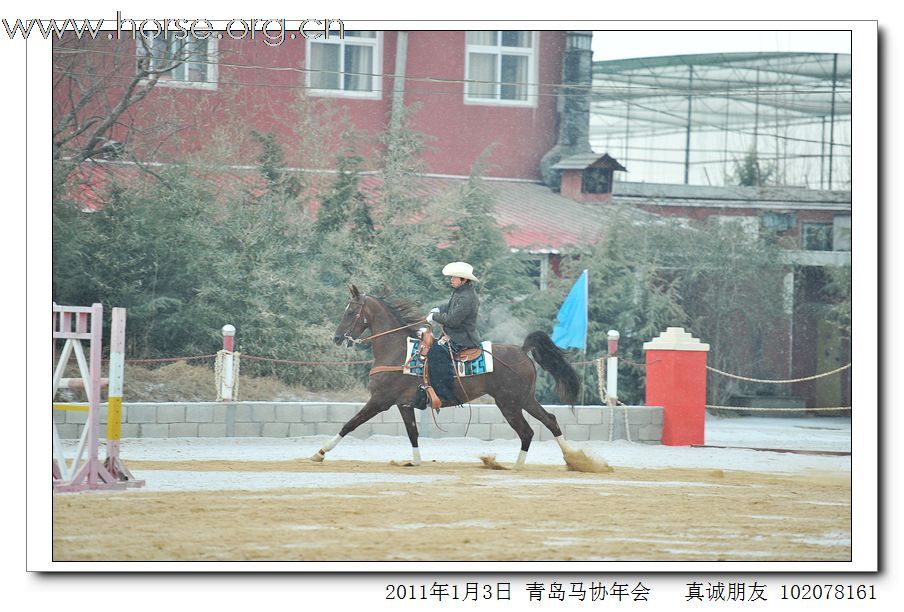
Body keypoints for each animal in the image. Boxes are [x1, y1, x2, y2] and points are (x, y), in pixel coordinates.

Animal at [310, 286, 580, 468]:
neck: (397, 352)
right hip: (525, 400)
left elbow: (350, 424)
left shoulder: (380, 400)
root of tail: (522, 352)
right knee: (550, 420)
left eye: (351, 311)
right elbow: (412, 433)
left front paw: (320, 452)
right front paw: (415, 461)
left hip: (510, 404)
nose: (337, 338)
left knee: (527, 432)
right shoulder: (403, 404)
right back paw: (572, 458)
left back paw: (518, 466)